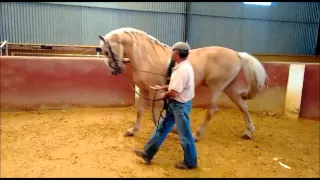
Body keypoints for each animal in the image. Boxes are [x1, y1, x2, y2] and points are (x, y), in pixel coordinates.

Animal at [98, 27, 268, 141]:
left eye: (107, 51)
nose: (115, 70)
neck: (148, 57)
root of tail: (237, 54)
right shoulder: (145, 89)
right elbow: (140, 111)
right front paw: (133, 130)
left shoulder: (156, 91)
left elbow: (157, 112)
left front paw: (165, 129)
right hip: (230, 89)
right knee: (243, 106)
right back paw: (248, 132)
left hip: (216, 87)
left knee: (212, 110)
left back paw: (197, 134)